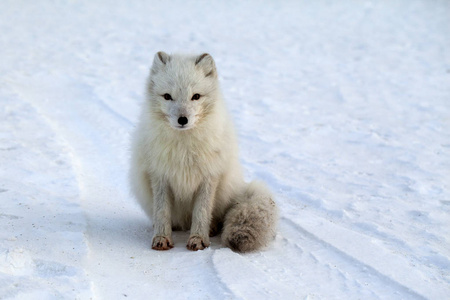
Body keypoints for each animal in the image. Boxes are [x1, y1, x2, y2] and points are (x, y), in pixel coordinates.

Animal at [129, 52, 278, 252]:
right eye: (167, 96)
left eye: (196, 96)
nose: (182, 119)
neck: (184, 148)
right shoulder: (159, 175)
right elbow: (162, 212)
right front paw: (161, 238)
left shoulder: (209, 176)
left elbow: (202, 212)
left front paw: (199, 239)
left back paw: (212, 228)